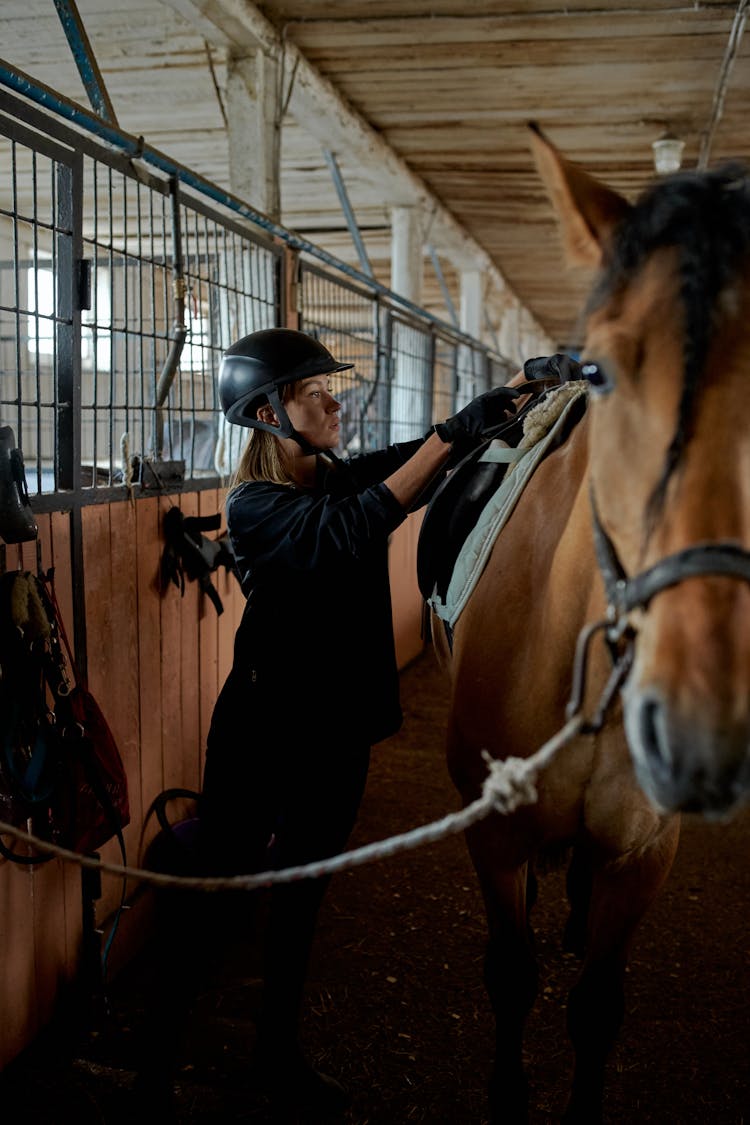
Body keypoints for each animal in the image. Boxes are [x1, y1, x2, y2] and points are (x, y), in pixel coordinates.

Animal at [434, 125, 750, 1125]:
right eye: (604, 369)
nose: (698, 735)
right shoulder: (491, 834)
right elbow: (510, 973)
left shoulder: (644, 853)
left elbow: (597, 1006)